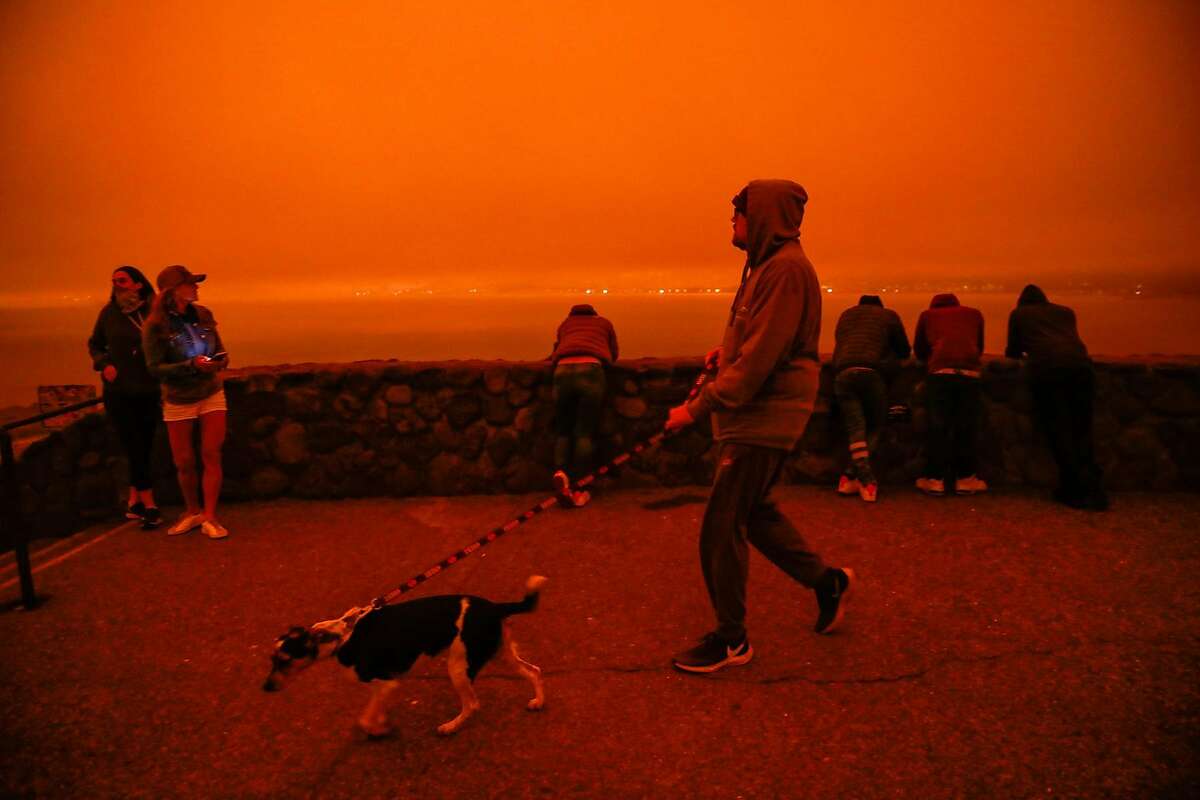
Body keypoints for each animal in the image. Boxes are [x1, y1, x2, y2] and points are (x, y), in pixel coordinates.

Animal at [264, 575, 549, 738]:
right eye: (271, 659)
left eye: (284, 660)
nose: (265, 687)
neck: (341, 636)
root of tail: (495, 607)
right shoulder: (383, 687)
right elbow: (373, 710)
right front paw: (380, 723)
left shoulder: (388, 683)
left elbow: (365, 719)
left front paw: (379, 729)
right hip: (500, 654)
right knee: (534, 670)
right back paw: (538, 701)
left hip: (458, 667)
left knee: (472, 705)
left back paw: (450, 727)